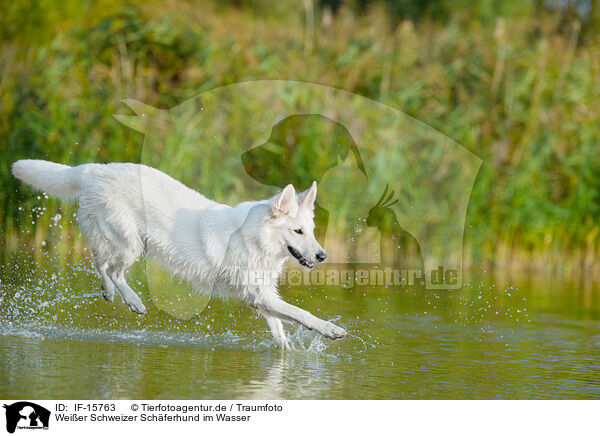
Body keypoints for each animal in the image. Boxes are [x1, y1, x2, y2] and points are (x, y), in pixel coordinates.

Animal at [11, 160, 346, 348]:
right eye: (297, 231)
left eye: (311, 231)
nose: (322, 256)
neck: (255, 237)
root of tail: (95, 170)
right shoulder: (260, 296)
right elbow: (302, 314)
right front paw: (331, 330)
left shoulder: (261, 297)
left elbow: (280, 332)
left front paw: (286, 357)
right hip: (131, 243)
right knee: (111, 268)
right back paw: (133, 301)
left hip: (120, 240)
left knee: (101, 262)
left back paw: (109, 293)